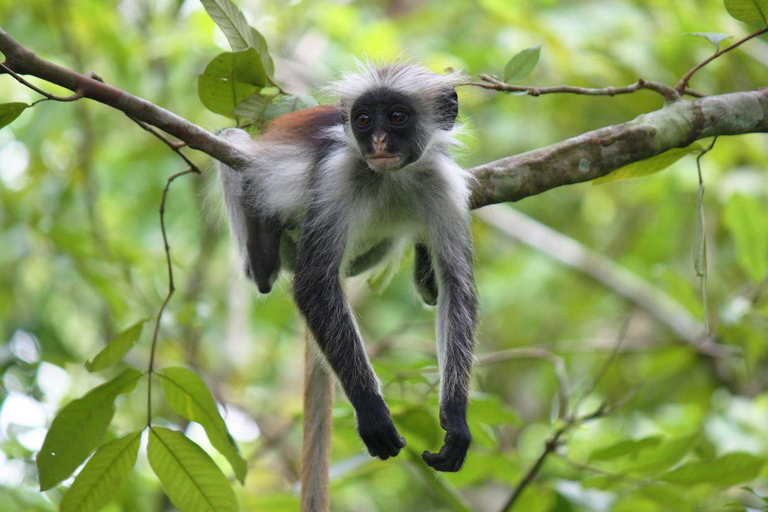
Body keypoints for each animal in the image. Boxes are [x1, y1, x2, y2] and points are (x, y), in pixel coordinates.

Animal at [216, 64, 476, 472]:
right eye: (363, 120)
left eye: (397, 116)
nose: (379, 141)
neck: (392, 176)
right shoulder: (337, 175)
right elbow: (314, 284)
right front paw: (372, 412)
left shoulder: (444, 184)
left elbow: (457, 288)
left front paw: (456, 417)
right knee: (232, 137)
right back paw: (261, 252)